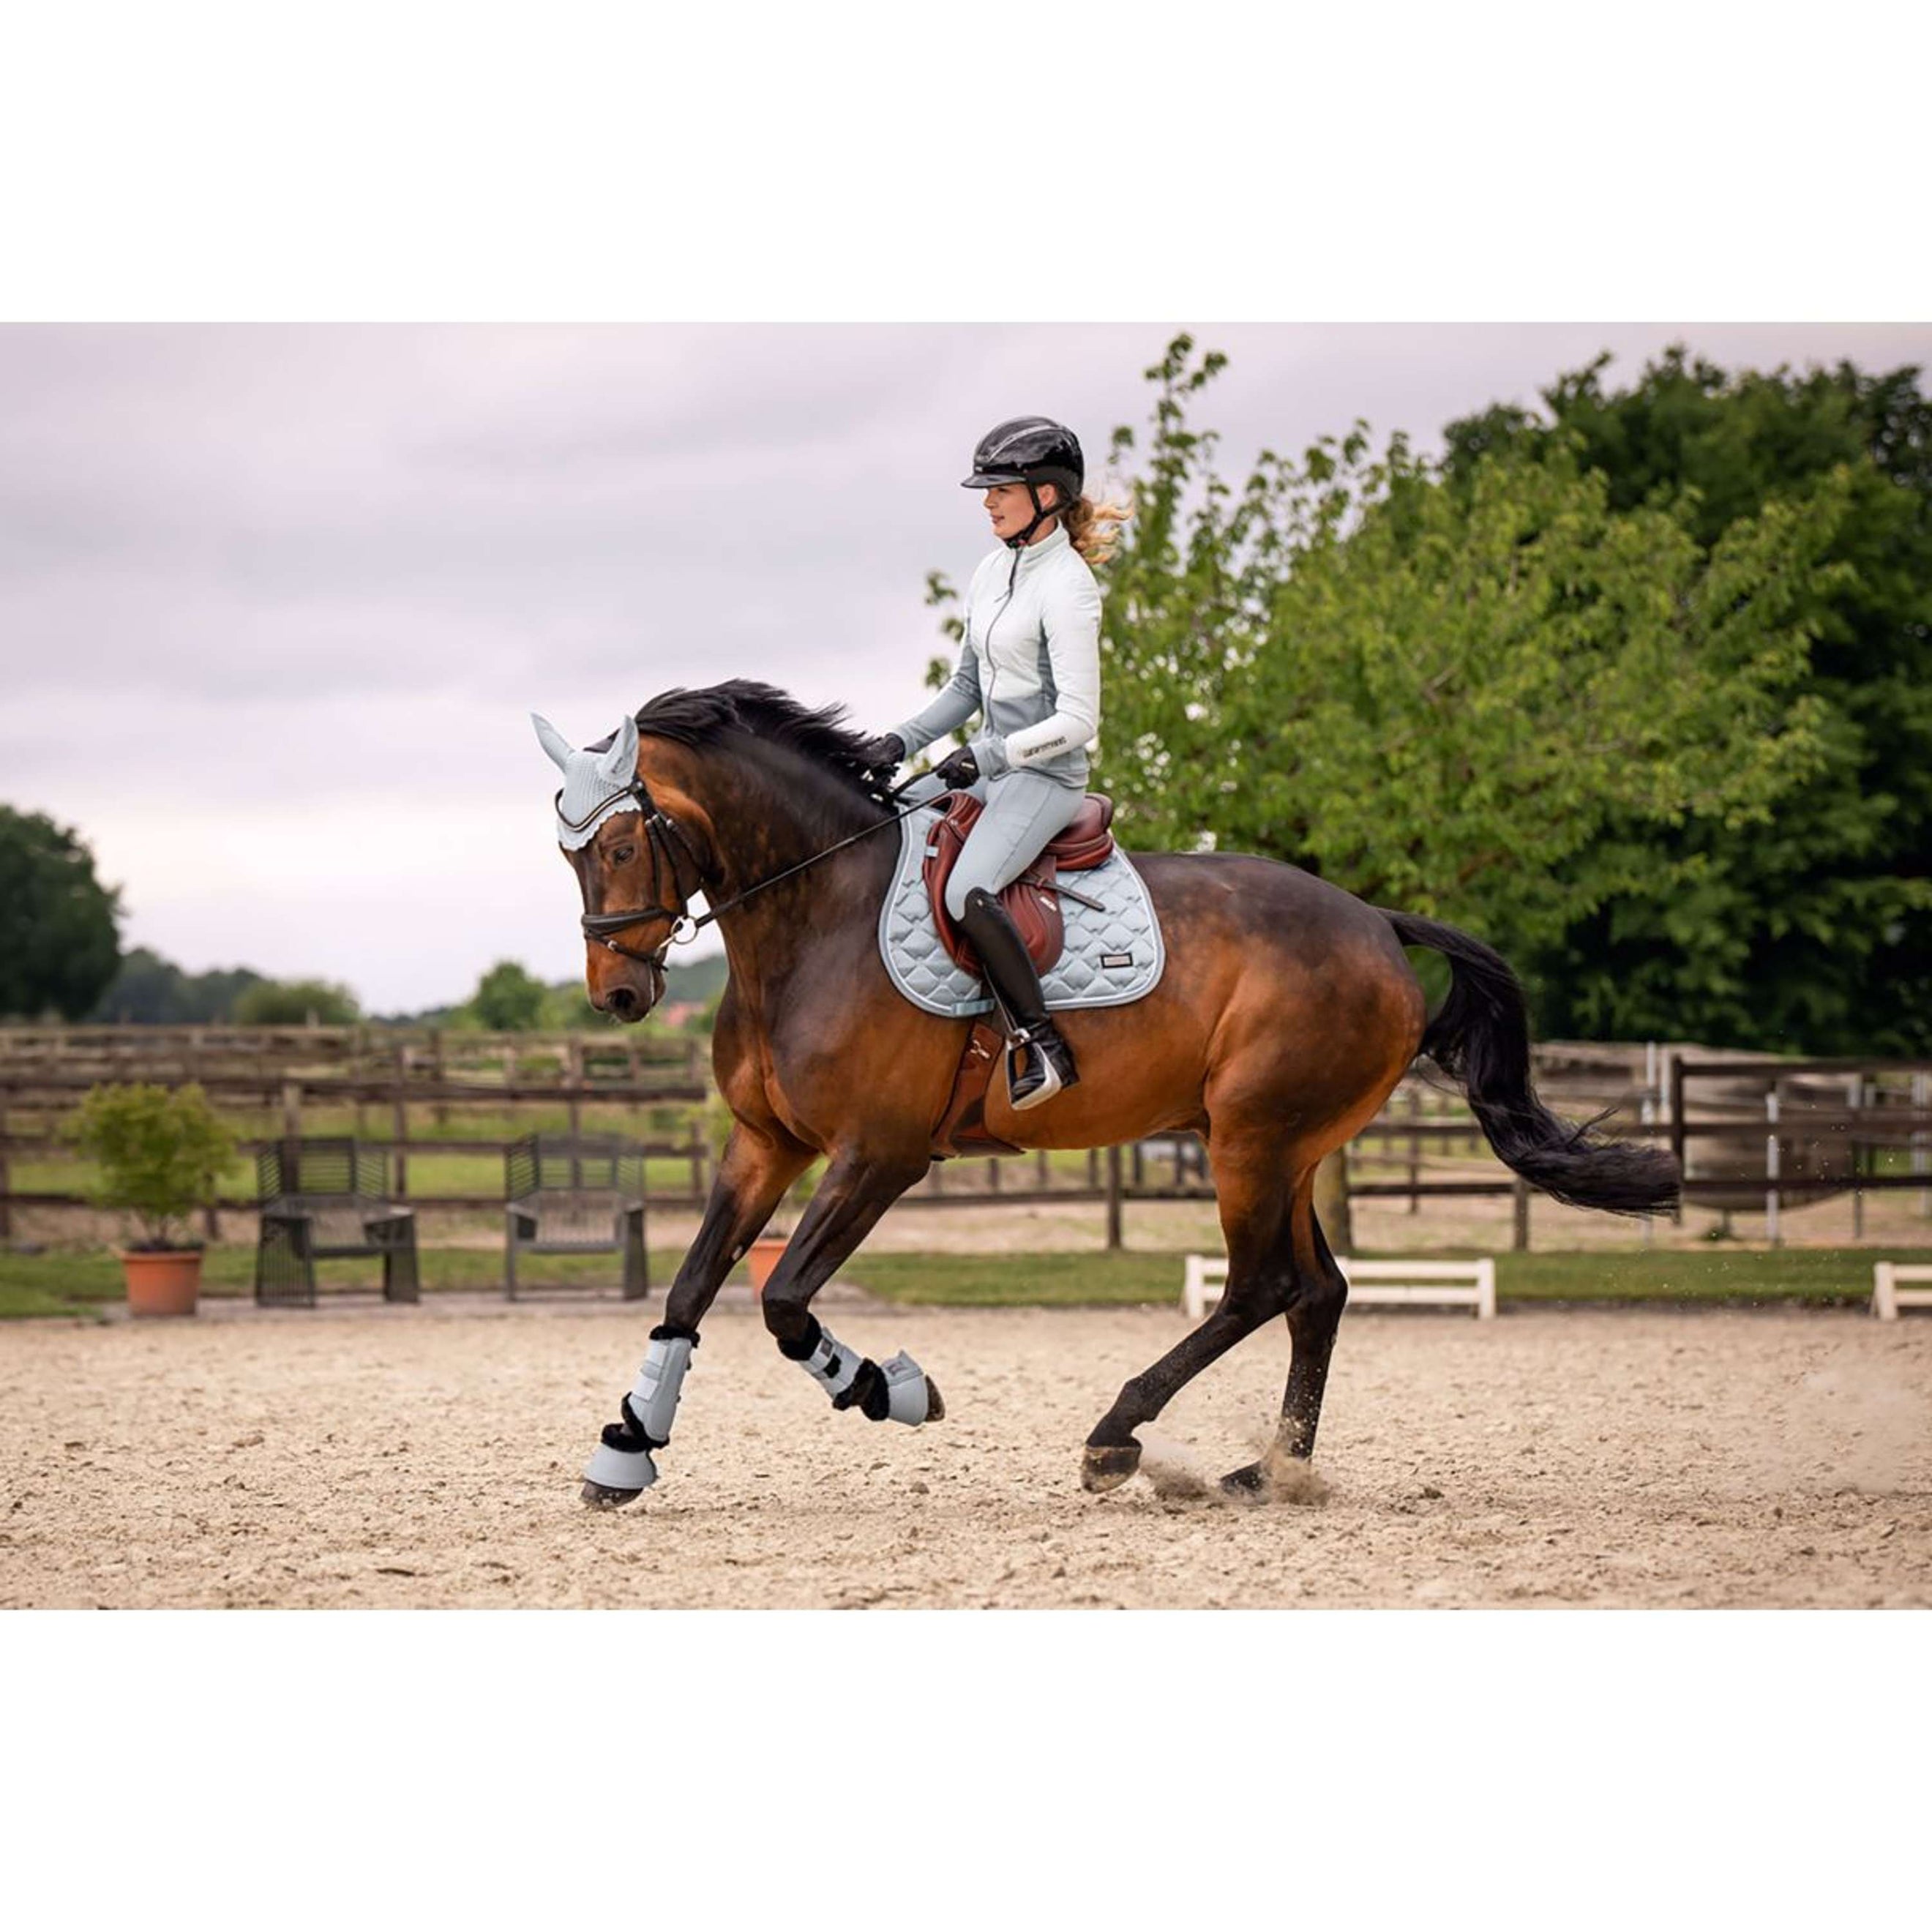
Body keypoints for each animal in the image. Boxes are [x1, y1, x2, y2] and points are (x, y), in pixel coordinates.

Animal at [535, 680, 1679, 1506]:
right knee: (1319, 1292)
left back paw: (1116, 1438)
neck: (817, 916)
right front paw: (627, 1446)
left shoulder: (880, 1155)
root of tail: (1374, 921)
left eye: (622, 844)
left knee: (1263, 1286)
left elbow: (781, 1302)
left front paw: (891, 1389)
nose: (619, 995)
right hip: (1285, 1147)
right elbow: (688, 1291)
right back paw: (1272, 1471)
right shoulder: (763, 1144)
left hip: (1252, 1142)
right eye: (568, 852)